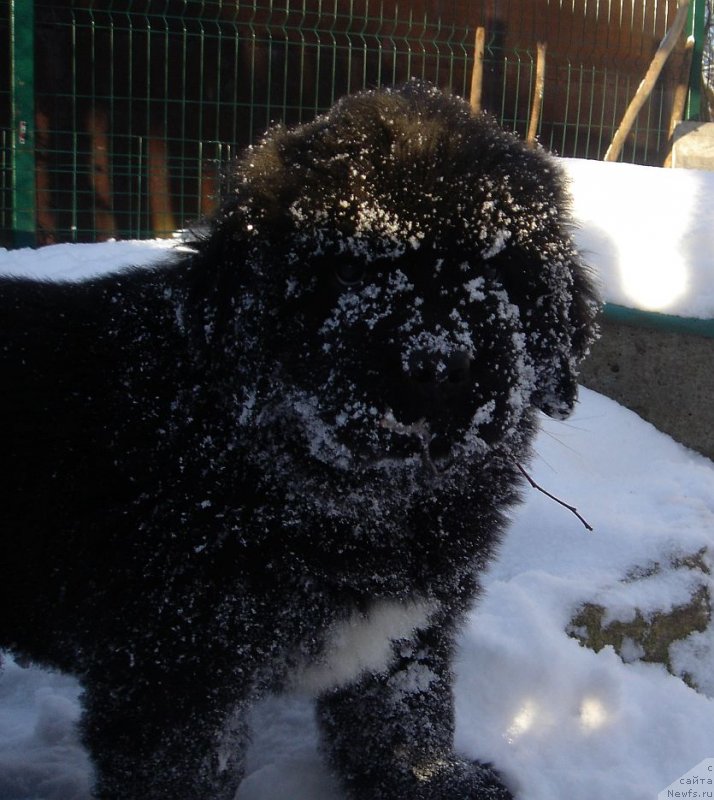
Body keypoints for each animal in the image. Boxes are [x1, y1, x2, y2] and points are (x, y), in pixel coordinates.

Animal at [0, 83, 596, 800]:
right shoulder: (171, 671)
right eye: (342, 271)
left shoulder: (409, 629)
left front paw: (429, 781)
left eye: (492, 262)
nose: (435, 361)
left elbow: (402, 714)